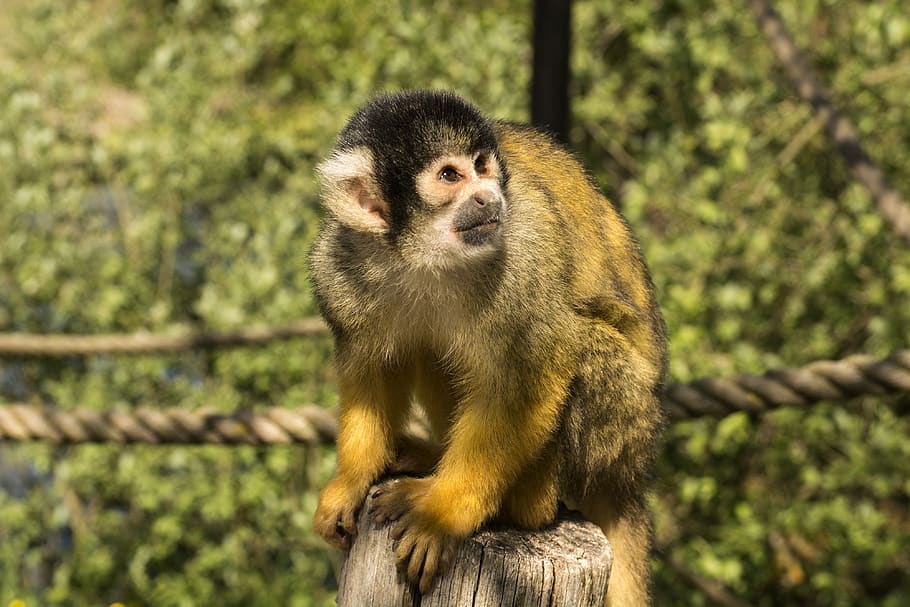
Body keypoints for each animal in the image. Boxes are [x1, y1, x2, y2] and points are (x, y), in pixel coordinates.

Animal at [309, 90, 667, 607]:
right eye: (450, 176)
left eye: (482, 166)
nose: (489, 197)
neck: (423, 256)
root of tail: (635, 473)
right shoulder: (338, 265)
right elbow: (370, 368)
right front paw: (349, 482)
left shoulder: (523, 249)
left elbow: (535, 367)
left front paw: (443, 514)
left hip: (626, 423)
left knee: (578, 344)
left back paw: (524, 507)